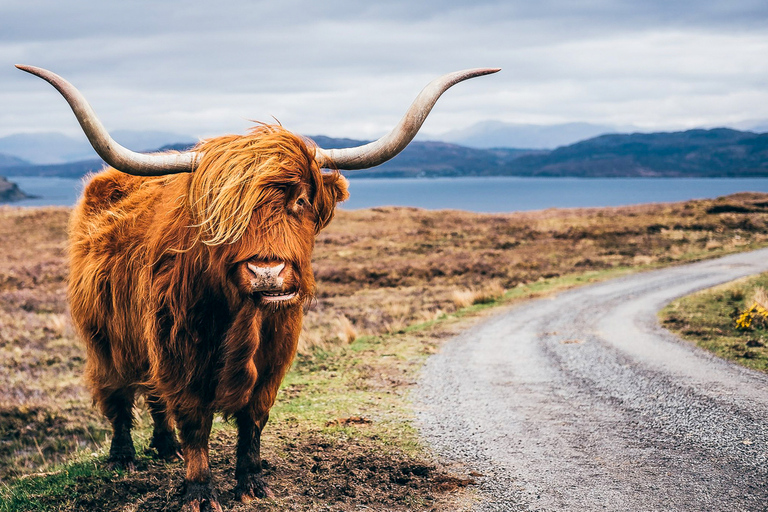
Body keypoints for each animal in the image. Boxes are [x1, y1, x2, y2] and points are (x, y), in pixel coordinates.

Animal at [18, 65, 500, 512]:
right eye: (220, 210)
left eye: (301, 200)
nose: (267, 272)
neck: (241, 320)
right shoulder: (177, 352)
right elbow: (194, 421)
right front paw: (199, 492)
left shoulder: (274, 357)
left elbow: (253, 419)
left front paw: (252, 484)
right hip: (103, 335)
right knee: (117, 393)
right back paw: (124, 457)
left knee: (154, 398)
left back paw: (165, 448)